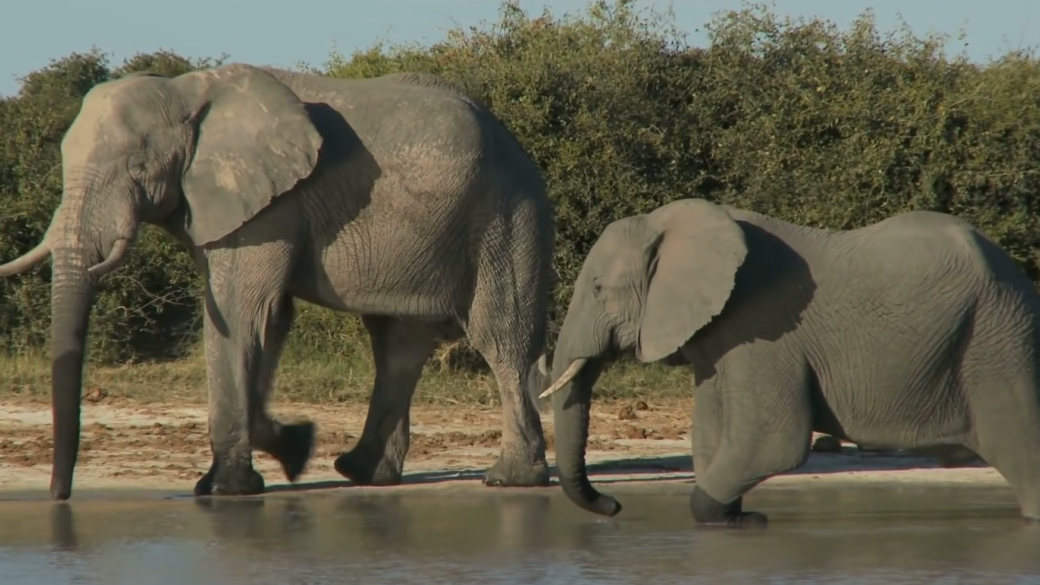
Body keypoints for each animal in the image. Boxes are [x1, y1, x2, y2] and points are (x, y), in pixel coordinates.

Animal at [0, 64, 557, 501]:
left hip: (506, 216)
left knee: (499, 338)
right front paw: (292, 448)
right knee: (398, 345)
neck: (186, 91)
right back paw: (360, 472)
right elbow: (270, 320)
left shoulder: (270, 206)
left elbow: (242, 313)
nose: (60, 498)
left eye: (137, 165)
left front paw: (227, 488)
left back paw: (511, 480)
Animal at [540, 197, 1040, 526]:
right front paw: (737, 520)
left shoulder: (762, 327)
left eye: (598, 289)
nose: (614, 506)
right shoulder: (720, 336)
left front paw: (742, 519)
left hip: (997, 337)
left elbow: (774, 441)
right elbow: (710, 433)